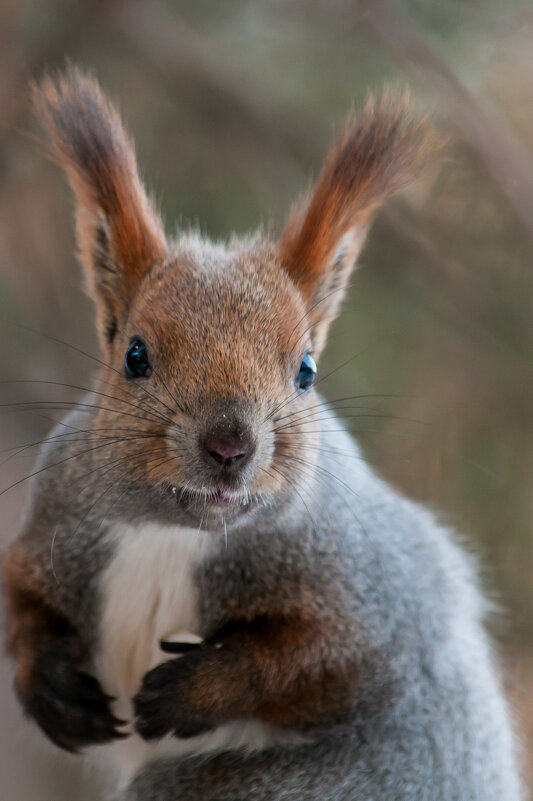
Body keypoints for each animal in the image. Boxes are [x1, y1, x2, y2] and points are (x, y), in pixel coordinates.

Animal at [1, 69, 524, 800]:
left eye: (305, 371)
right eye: (134, 355)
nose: (229, 447)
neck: (173, 534)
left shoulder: (371, 586)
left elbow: (318, 660)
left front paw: (195, 690)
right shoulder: (56, 517)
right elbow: (24, 600)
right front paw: (49, 687)